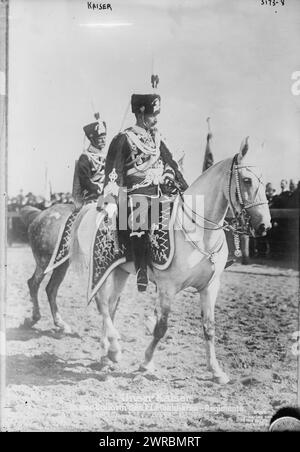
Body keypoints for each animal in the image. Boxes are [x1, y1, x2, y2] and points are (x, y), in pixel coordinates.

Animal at [71, 139, 270, 384]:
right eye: (247, 180)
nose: (264, 225)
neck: (199, 232)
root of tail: (91, 208)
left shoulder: (210, 287)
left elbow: (209, 328)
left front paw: (216, 371)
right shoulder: (167, 287)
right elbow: (161, 327)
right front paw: (146, 362)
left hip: (120, 271)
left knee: (110, 305)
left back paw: (106, 353)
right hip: (99, 268)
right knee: (101, 304)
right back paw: (114, 349)